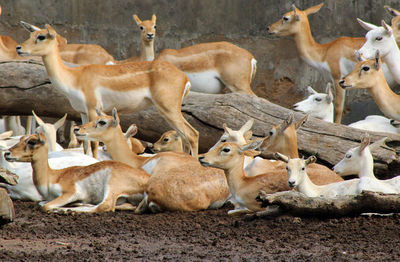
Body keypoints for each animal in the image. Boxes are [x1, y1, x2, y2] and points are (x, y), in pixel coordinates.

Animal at [4, 134, 149, 212]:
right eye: (20, 139)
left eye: (32, 141)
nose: (7, 153)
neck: (52, 176)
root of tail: (147, 178)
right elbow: (42, 203)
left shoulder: (70, 193)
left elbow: (44, 206)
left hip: (111, 185)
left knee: (104, 206)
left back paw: (67, 210)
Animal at [17, 22, 198, 158]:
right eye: (30, 35)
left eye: (41, 36)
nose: (19, 48)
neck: (74, 77)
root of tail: (184, 78)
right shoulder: (82, 112)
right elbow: (85, 144)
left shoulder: (93, 109)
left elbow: (94, 143)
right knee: (186, 137)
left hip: (168, 109)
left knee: (192, 135)